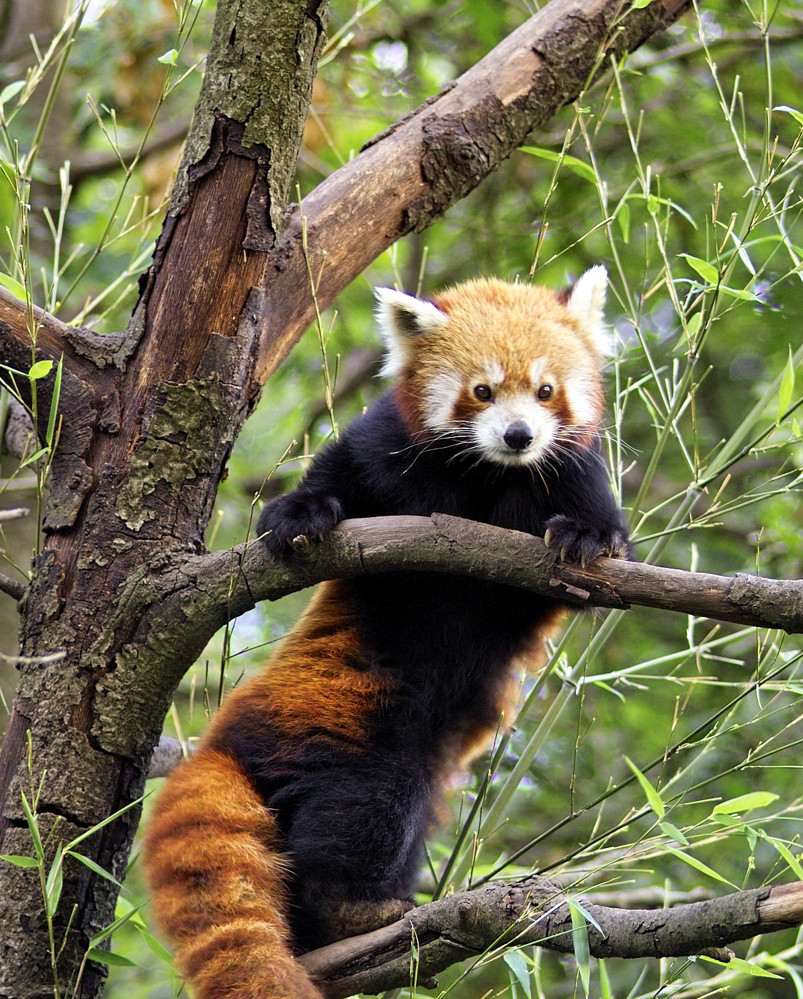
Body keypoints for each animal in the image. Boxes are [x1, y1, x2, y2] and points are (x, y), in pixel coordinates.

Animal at [146, 266, 636, 999]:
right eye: (482, 391)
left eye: (546, 390)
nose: (518, 435)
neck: (487, 477)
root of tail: (222, 741)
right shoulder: (386, 447)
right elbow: (339, 472)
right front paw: (299, 513)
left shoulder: (568, 471)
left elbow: (582, 549)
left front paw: (584, 536)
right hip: (344, 718)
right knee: (365, 802)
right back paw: (359, 908)